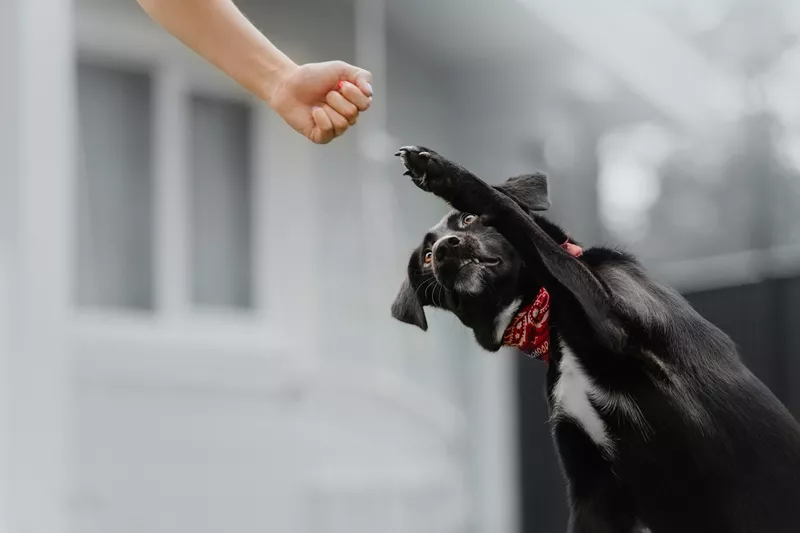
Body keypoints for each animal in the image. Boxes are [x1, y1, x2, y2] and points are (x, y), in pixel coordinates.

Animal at [390, 145, 800, 532]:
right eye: (426, 257)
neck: (550, 323)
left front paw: (444, 173)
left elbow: (518, 220)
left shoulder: (610, 318)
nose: (444, 249)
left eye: (469, 220)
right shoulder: (593, 490)